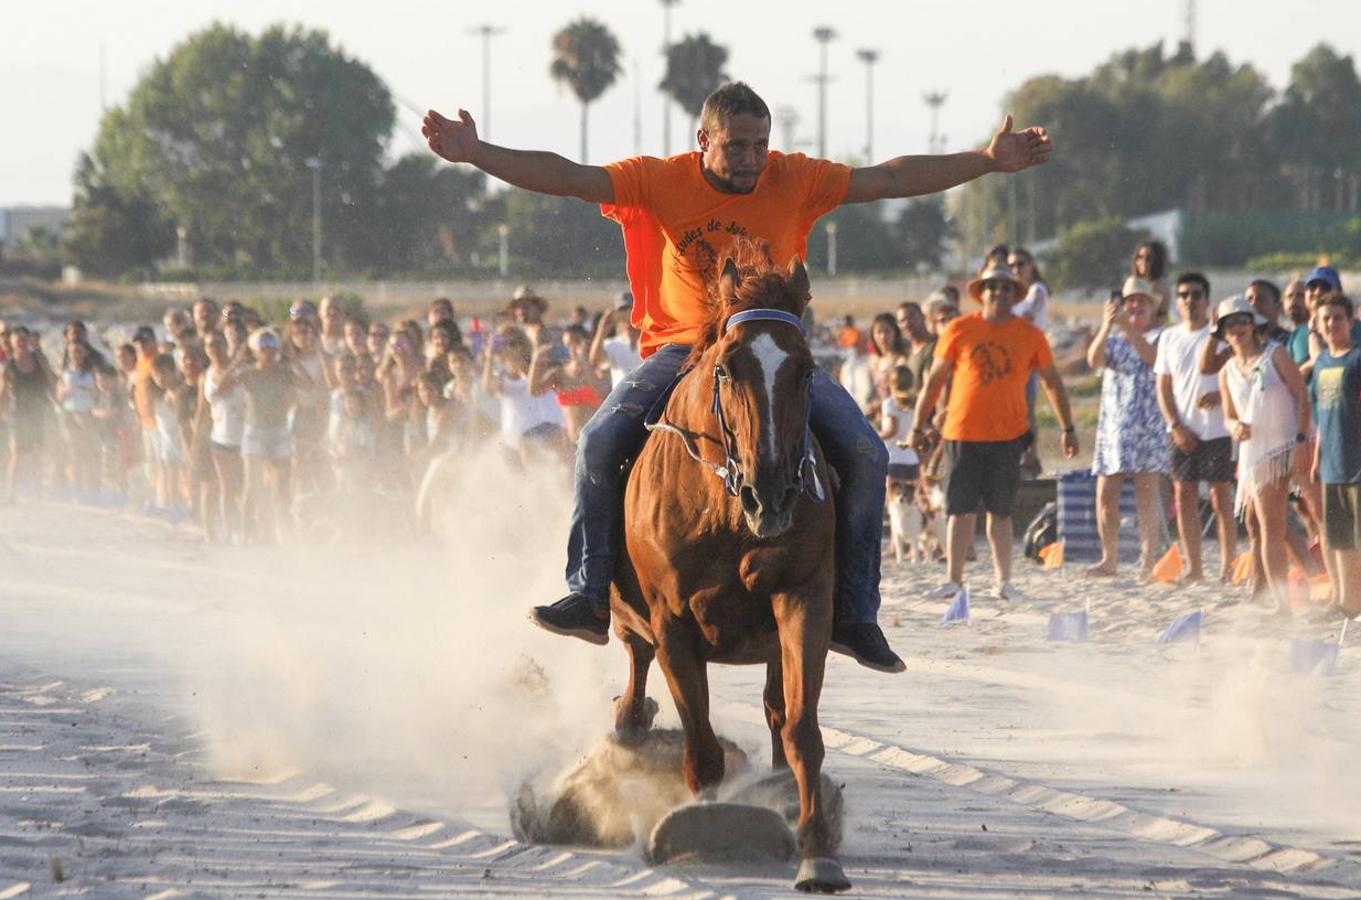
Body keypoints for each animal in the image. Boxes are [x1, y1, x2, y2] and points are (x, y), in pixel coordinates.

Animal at [609, 254, 843, 893]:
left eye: (807, 369)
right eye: (726, 368)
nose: (773, 492)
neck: (725, 507)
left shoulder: (803, 601)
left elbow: (801, 732)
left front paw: (817, 849)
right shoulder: (673, 626)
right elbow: (702, 744)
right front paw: (704, 829)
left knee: (776, 710)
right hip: (627, 614)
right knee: (634, 660)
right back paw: (629, 727)